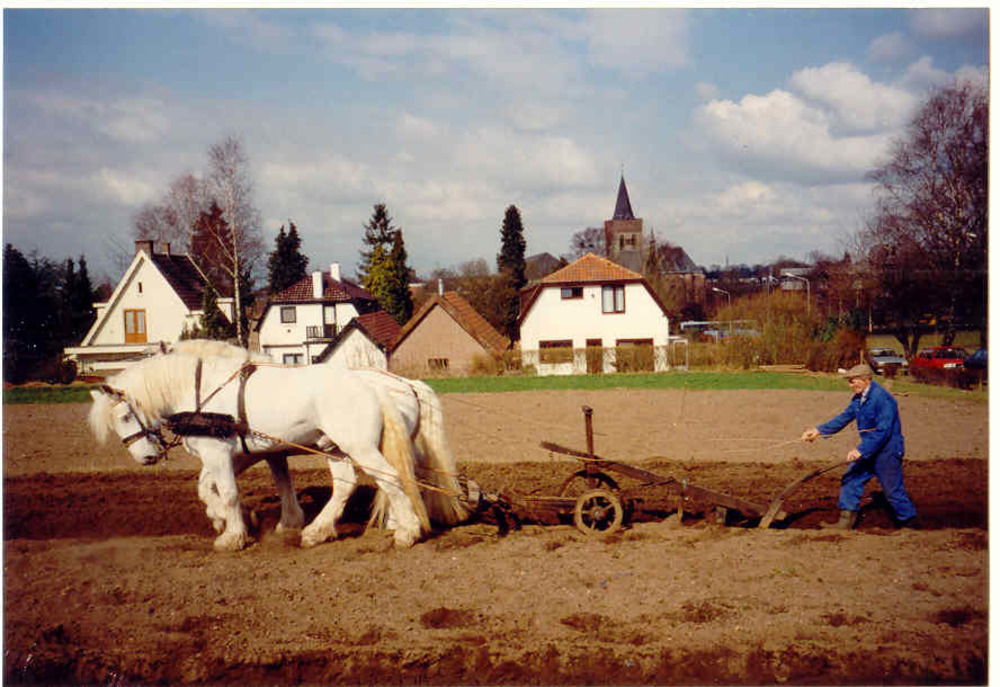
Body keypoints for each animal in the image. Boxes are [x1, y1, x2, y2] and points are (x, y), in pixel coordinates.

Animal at [88, 340, 437, 551]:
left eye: (124, 416)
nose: (145, 457)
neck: (199, 390)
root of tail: (374, 384)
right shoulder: (242, 452)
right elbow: (207, 488)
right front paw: (231, 519)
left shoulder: (219, 451)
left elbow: (228, 492)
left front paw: (233, 534)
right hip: (337, 447)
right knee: (348, 484)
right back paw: (318, 531)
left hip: (360, 447)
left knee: (391, 478)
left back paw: (407, 530)